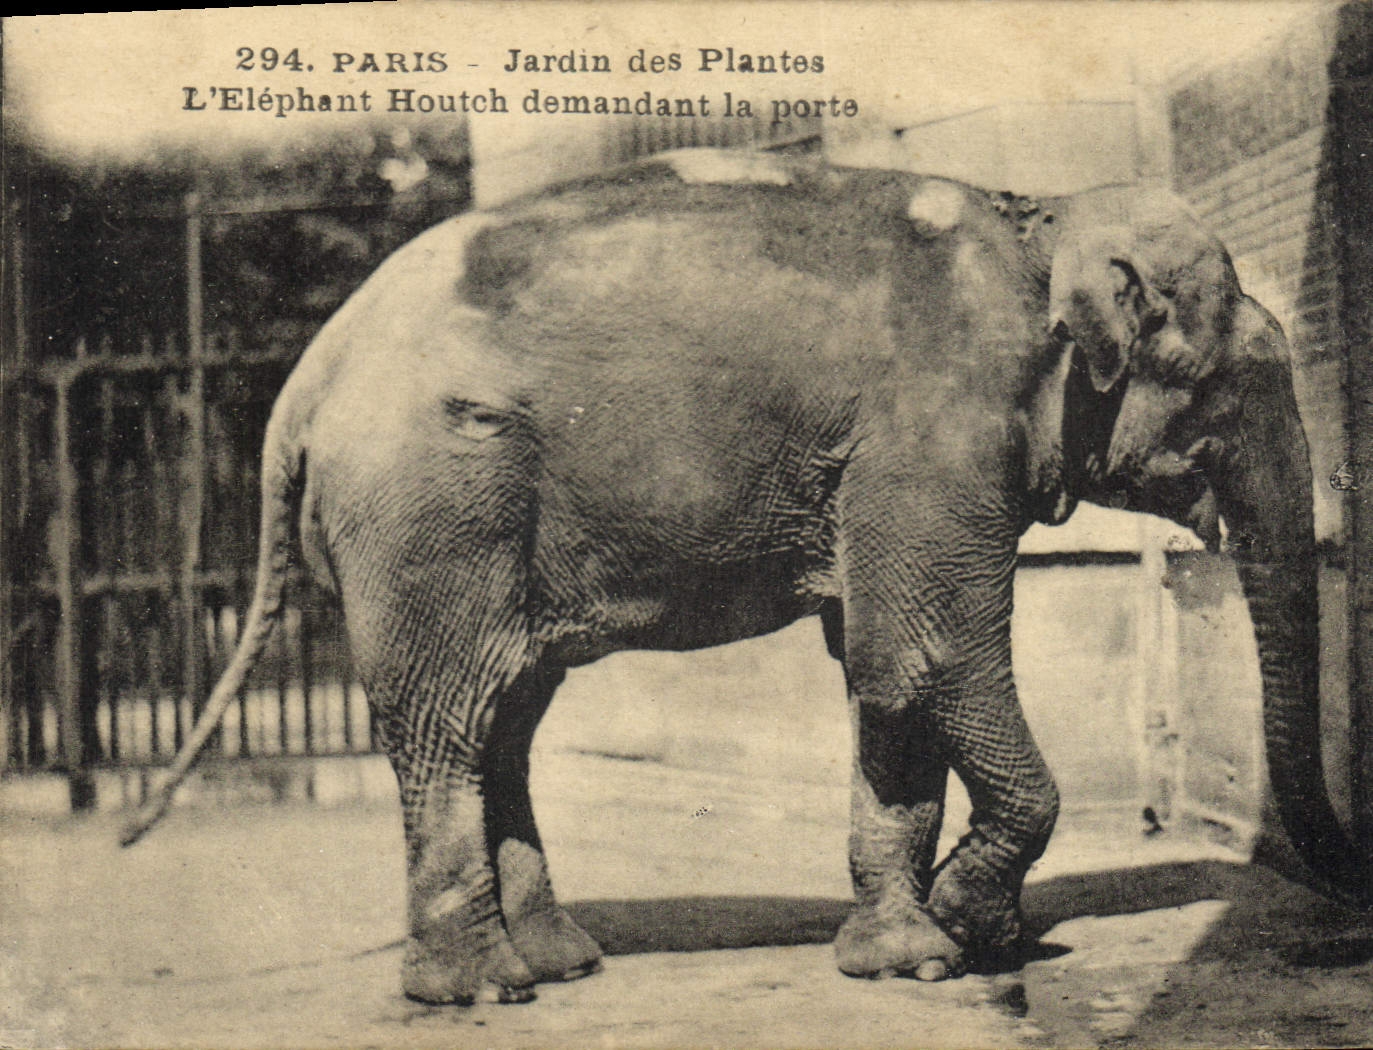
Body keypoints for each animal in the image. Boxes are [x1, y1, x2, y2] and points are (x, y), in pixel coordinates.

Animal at [122, 147, 1369, 1004]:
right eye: (1223, 391)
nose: (1346, 923)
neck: (1041, 221)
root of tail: (304, 384)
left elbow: (881, 679)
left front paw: (905, 961)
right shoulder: (929, 435)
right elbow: (929, 656)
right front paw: (967, 931)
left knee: (504, 719)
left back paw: (560, 964)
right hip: (431, 509)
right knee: (447, 719)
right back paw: (482, 991)